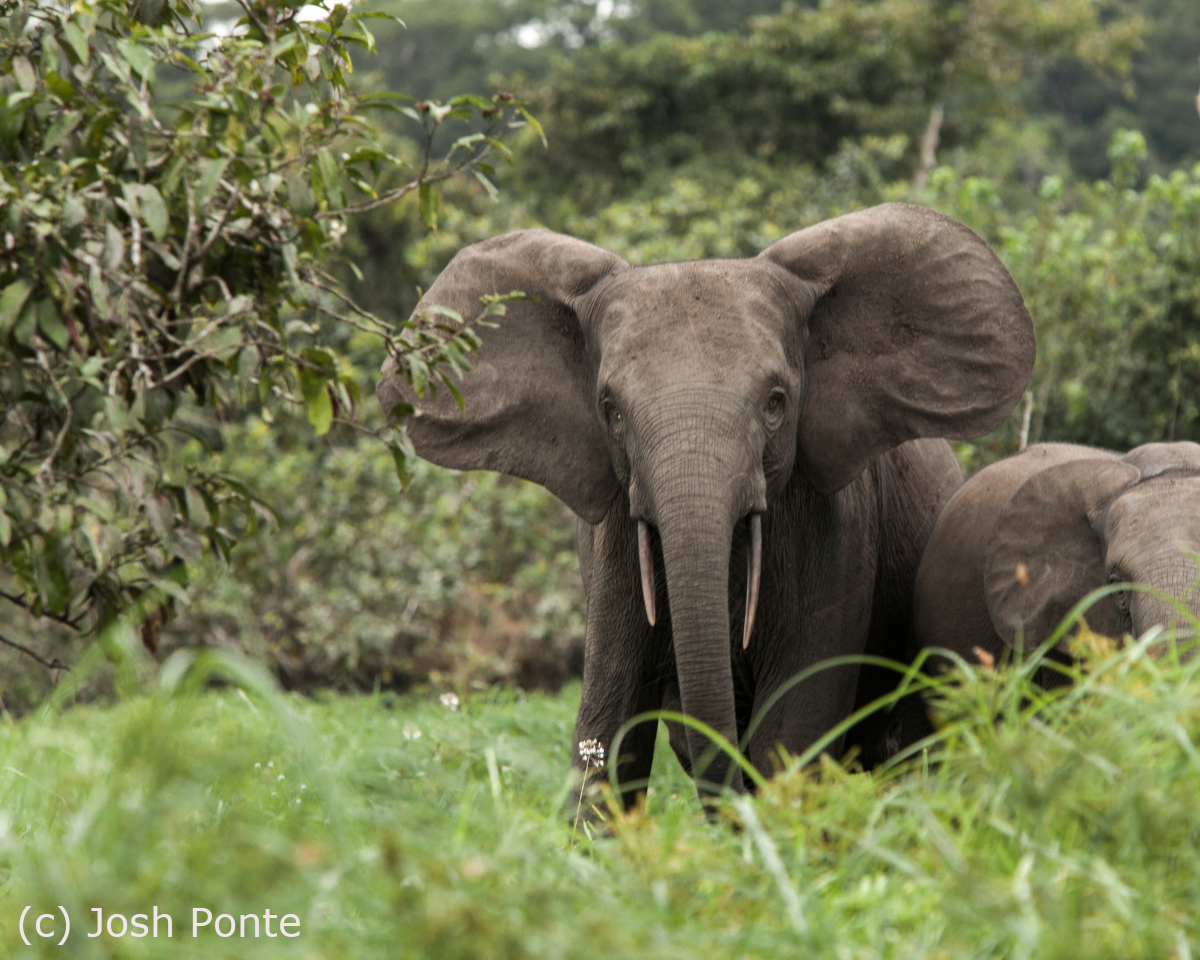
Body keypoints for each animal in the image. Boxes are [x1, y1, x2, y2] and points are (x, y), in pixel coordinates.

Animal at [379, 202, 1036, 801]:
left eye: (775, 403)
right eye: (611, 411)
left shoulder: (838, 530)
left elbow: (791, 731)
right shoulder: (616, 536)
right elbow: (610, 725)